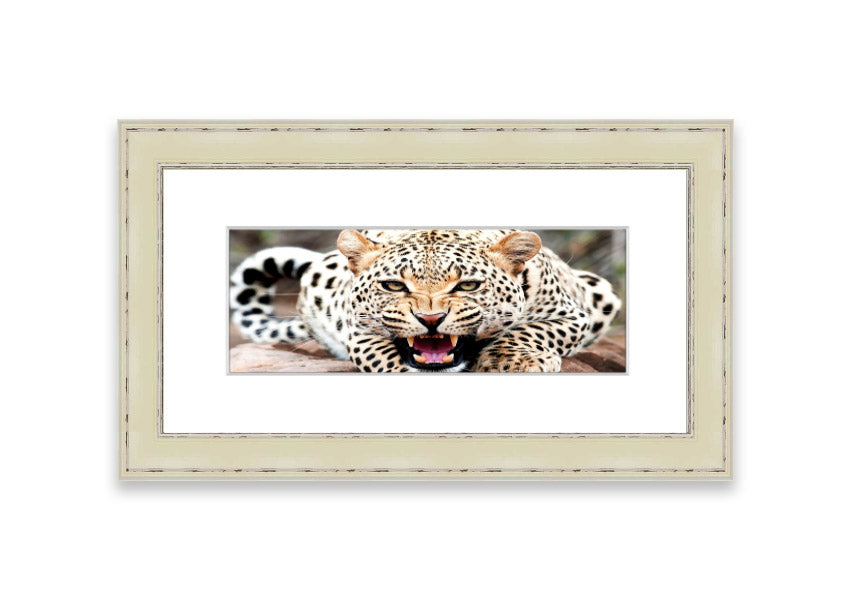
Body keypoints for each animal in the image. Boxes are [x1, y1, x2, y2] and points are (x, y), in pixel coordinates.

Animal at [230, 229, 621, 373]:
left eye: (467, 285)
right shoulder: (358, 332)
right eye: (393, 285)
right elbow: (384, 358)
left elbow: (530, 331)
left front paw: (514, 361)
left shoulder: (574, 314)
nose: (430, 320)